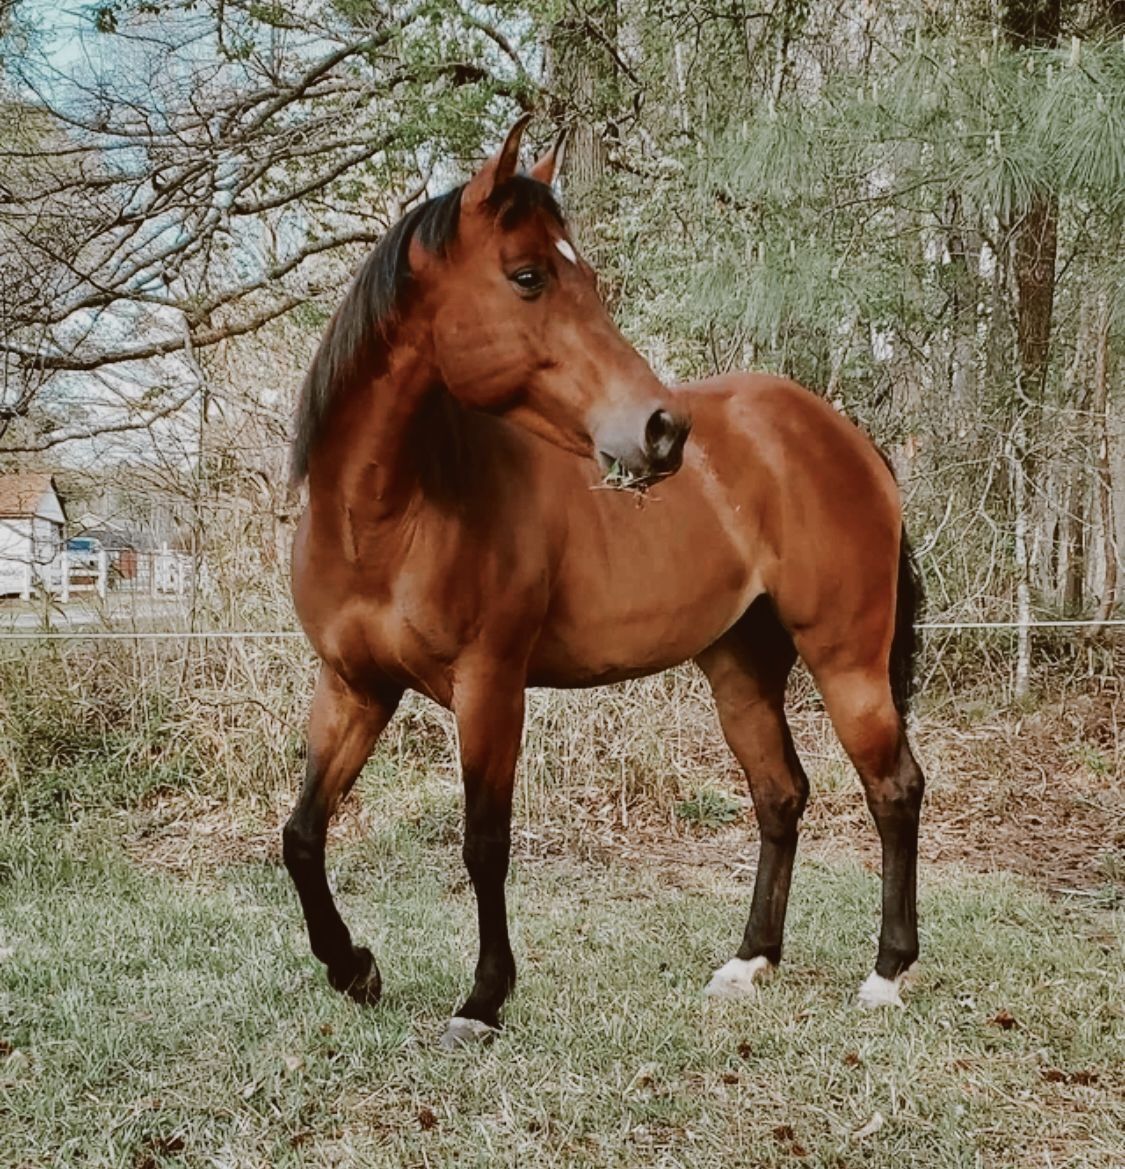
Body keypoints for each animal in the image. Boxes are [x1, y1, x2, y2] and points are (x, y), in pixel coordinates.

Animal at [285, 116, 926, 1049]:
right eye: (528, 275)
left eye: (580, 273)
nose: (663, 430)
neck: (387, 515)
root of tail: (841, 435)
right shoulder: (353, 685)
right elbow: (302, 833)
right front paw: (353, 967)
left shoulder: (489, 686)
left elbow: (484, 842)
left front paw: (481, 1001)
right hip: (738, 667)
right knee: (779, 795)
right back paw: (749, 962)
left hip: (847, 661)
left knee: (892, 789)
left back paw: (884, 974)